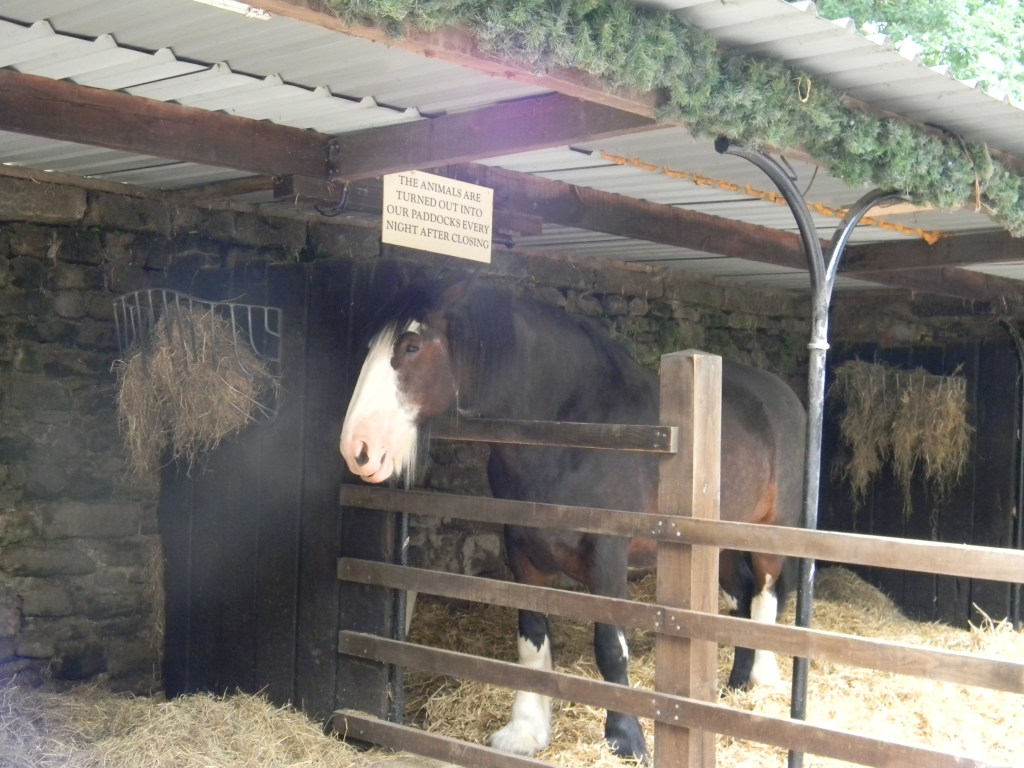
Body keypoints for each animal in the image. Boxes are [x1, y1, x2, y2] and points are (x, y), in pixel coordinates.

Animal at [339, 279, 805, 763]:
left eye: (411, 346)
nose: (358, 449)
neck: (573, 433)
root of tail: (783, 395)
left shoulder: (607, 555)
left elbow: (612, 648)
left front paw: (626, 740)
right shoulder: (521, 549)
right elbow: (531, 640)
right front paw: (524, 732)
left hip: (769, 533)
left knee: (766, 594)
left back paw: (761, 682)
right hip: (721, 543)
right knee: (741, 599)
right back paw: (735, 686)